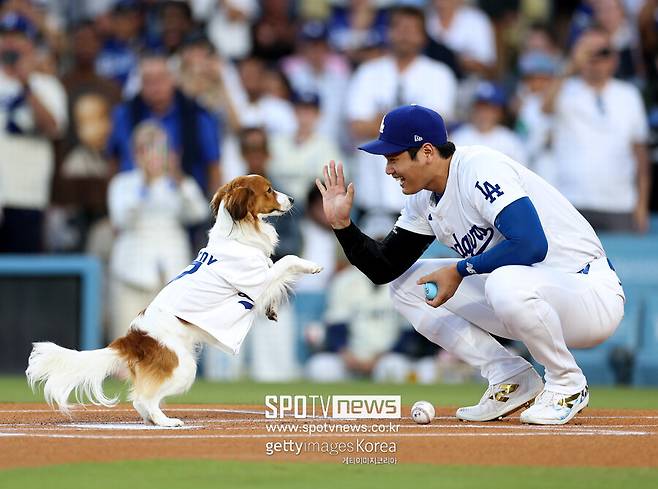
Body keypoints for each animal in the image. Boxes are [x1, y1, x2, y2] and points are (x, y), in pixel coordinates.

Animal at [26, 174, 322, 424]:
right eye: (269, 189)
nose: (293, 199)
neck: (237, 236)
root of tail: (131, 339)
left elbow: (276, 270)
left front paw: (272, 309)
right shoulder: (256, 281)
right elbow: (286, 261)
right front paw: (312, 266)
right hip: (184, 367)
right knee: (143, 399)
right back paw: (165, 421)